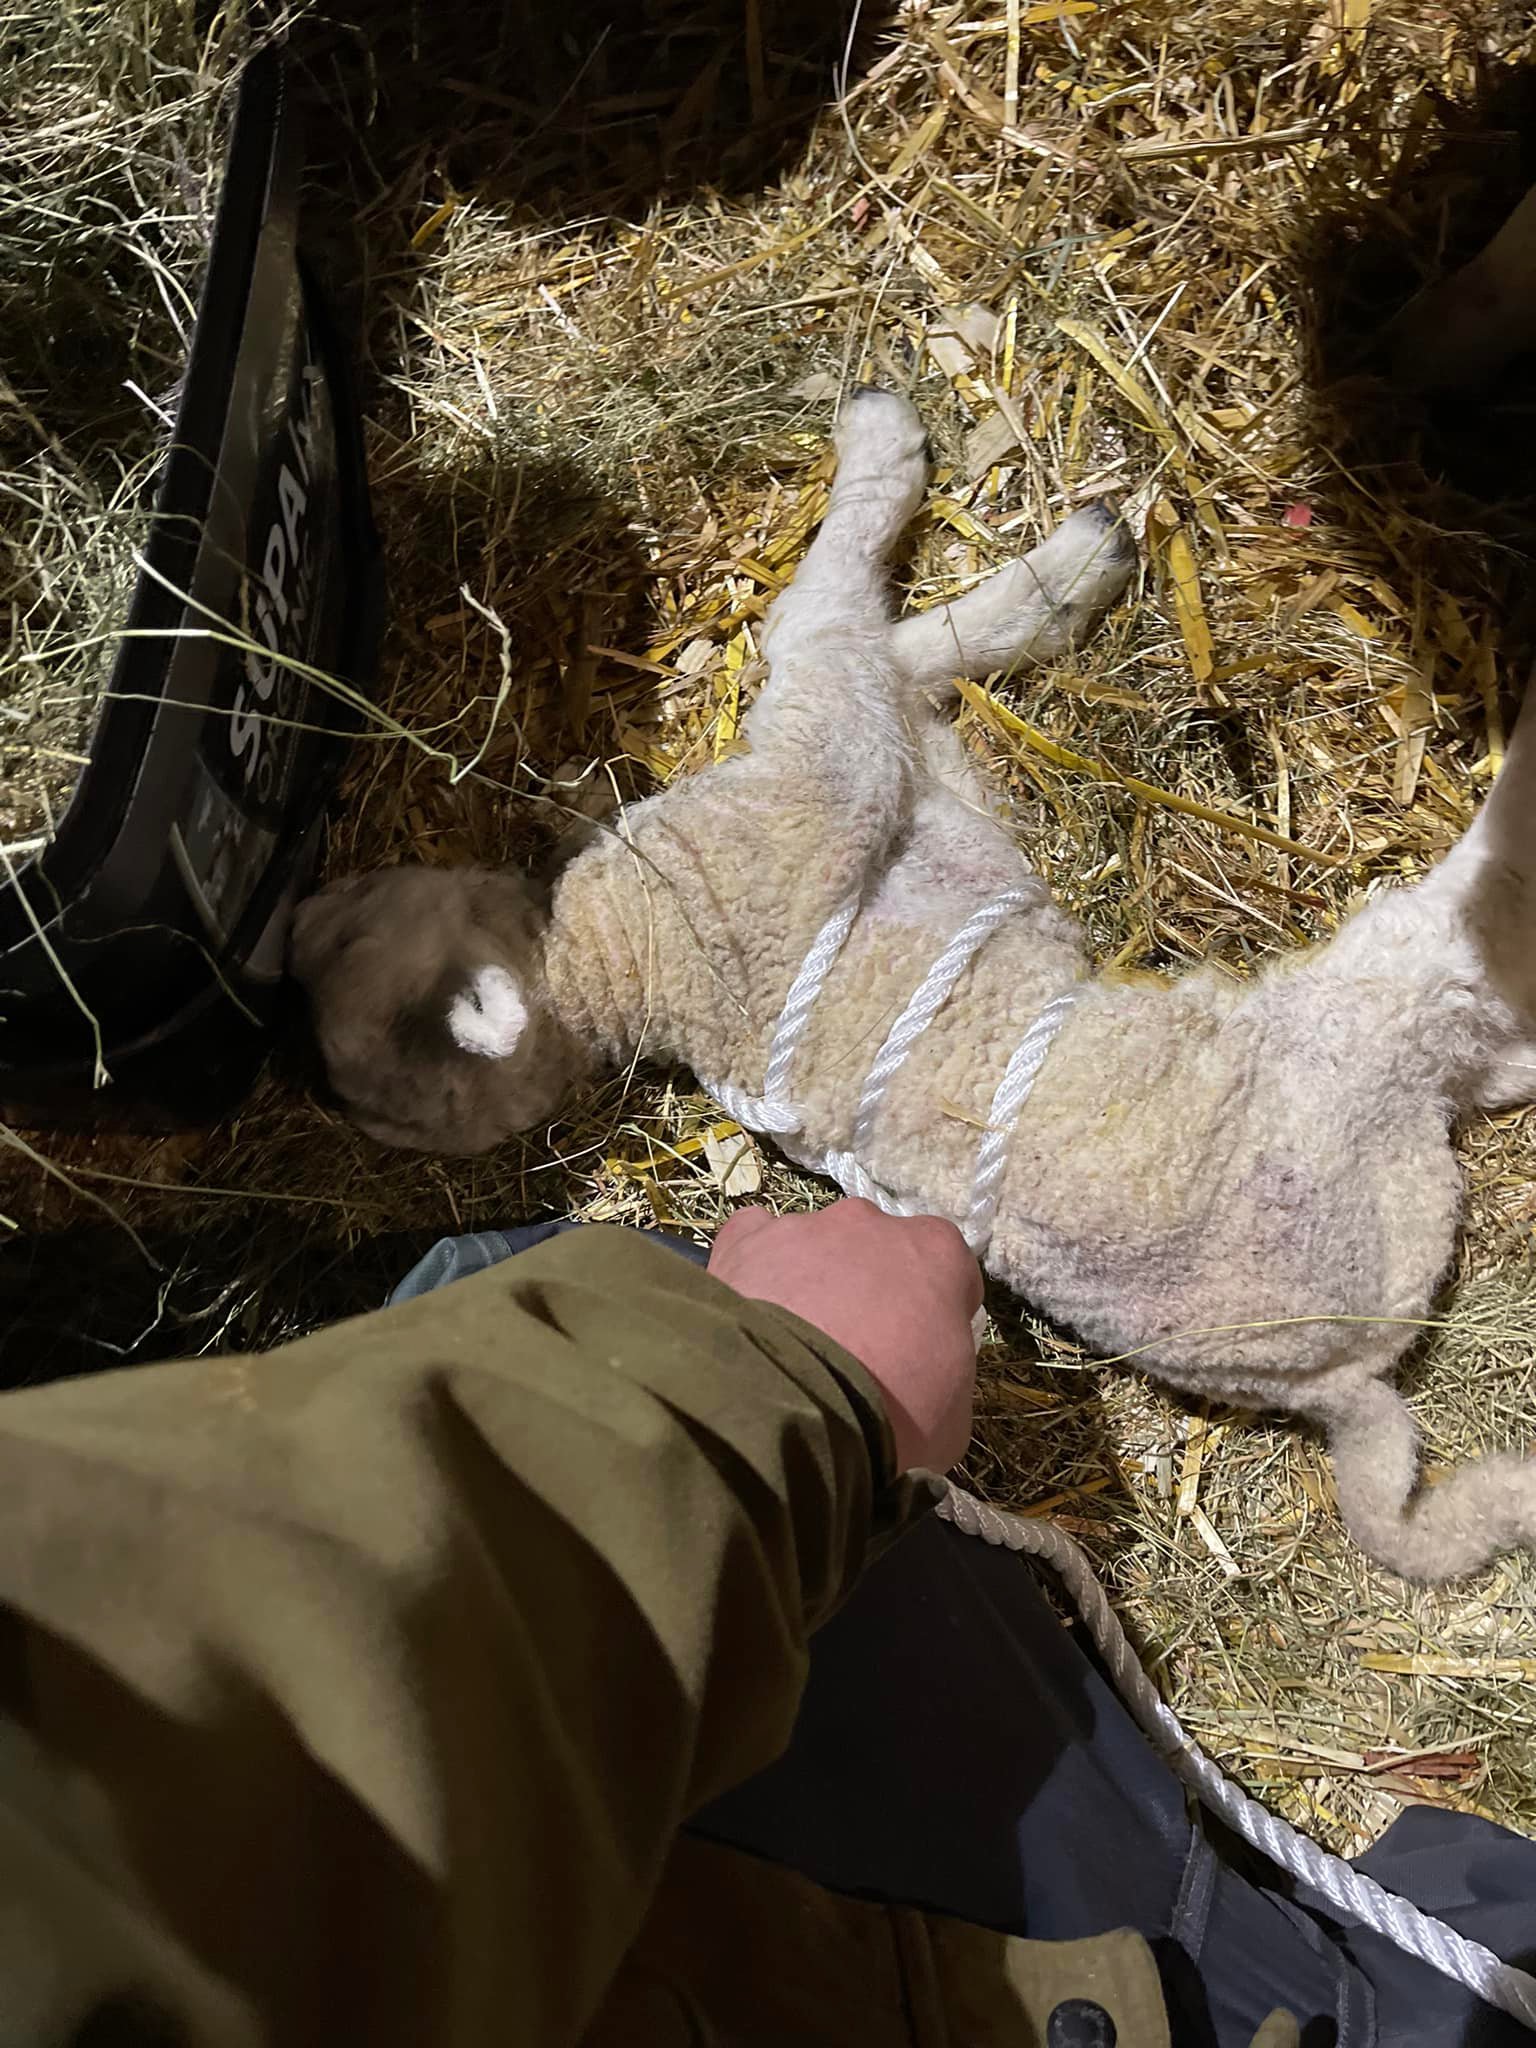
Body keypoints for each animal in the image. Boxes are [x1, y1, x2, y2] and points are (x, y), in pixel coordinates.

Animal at [291, 385, 1536, 1584]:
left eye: (355, 925)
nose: (291, 925)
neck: (612, 964)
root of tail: (1344, 1379)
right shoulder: (824, 770)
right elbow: (821, 619)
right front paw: (888, 446)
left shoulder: (908, 770)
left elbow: (899, 648)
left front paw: (1057, 578)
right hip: (1372, 1007)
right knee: (1480, 923)